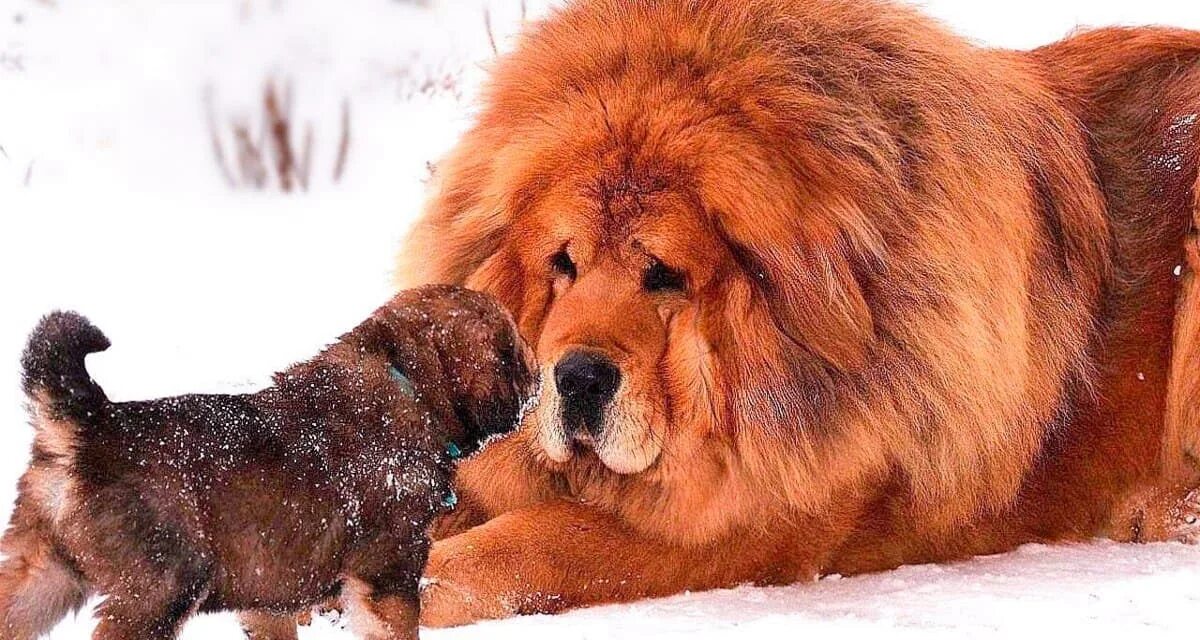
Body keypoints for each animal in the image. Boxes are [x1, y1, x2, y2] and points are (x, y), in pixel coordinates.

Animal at [0, 285, 537, 638]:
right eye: (511, 350)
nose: (538, 379)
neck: (408, 382)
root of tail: (86, 424)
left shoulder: (270, 596)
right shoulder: (390, 573)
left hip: (42, 571)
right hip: (161, 585)